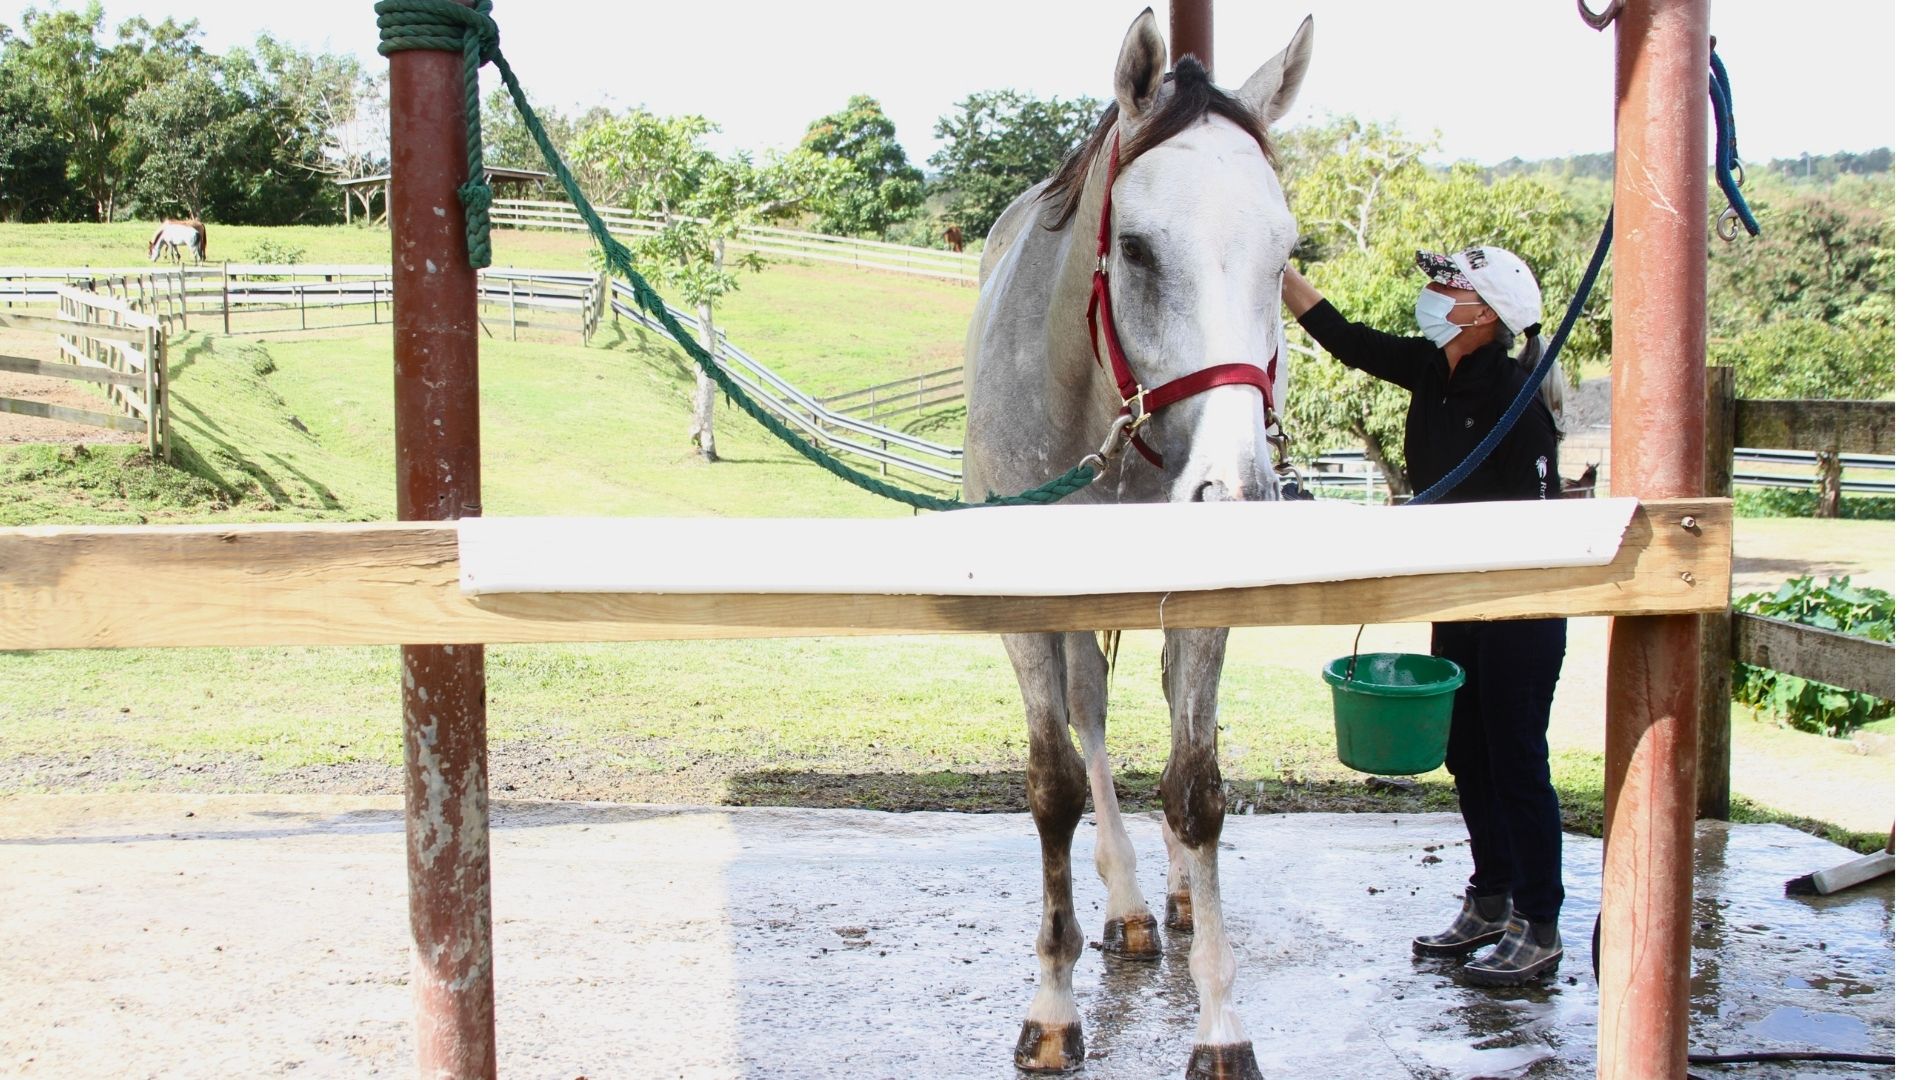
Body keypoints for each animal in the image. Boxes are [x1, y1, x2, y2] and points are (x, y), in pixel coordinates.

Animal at [967, 10, 1313, 1076]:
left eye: (1286, 252)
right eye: (1137, 247)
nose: (1237, 495)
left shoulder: (1200, 611)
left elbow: (1196, 788)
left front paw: (1220, 1024)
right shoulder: (1026, 610)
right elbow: (1053, 786)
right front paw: (1050, 1006)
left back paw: (1174, 896)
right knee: (1091, 715)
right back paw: (1122, 908)